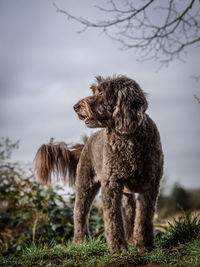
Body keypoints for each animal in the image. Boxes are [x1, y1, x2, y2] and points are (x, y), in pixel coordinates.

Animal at [34, 75, 164, 253]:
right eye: (94, 91)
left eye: (102, 92)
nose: (75, 107)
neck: (128, 137)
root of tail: (86, 143)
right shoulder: (111, 184)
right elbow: (112, 219)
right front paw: (118, 248)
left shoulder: (150, 184)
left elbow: (144, 217)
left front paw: (144, 245)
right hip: (85, 184)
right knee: (79, 213)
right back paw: (80, 241)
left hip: (124, 193)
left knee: (129, 214)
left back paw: (131, 239)